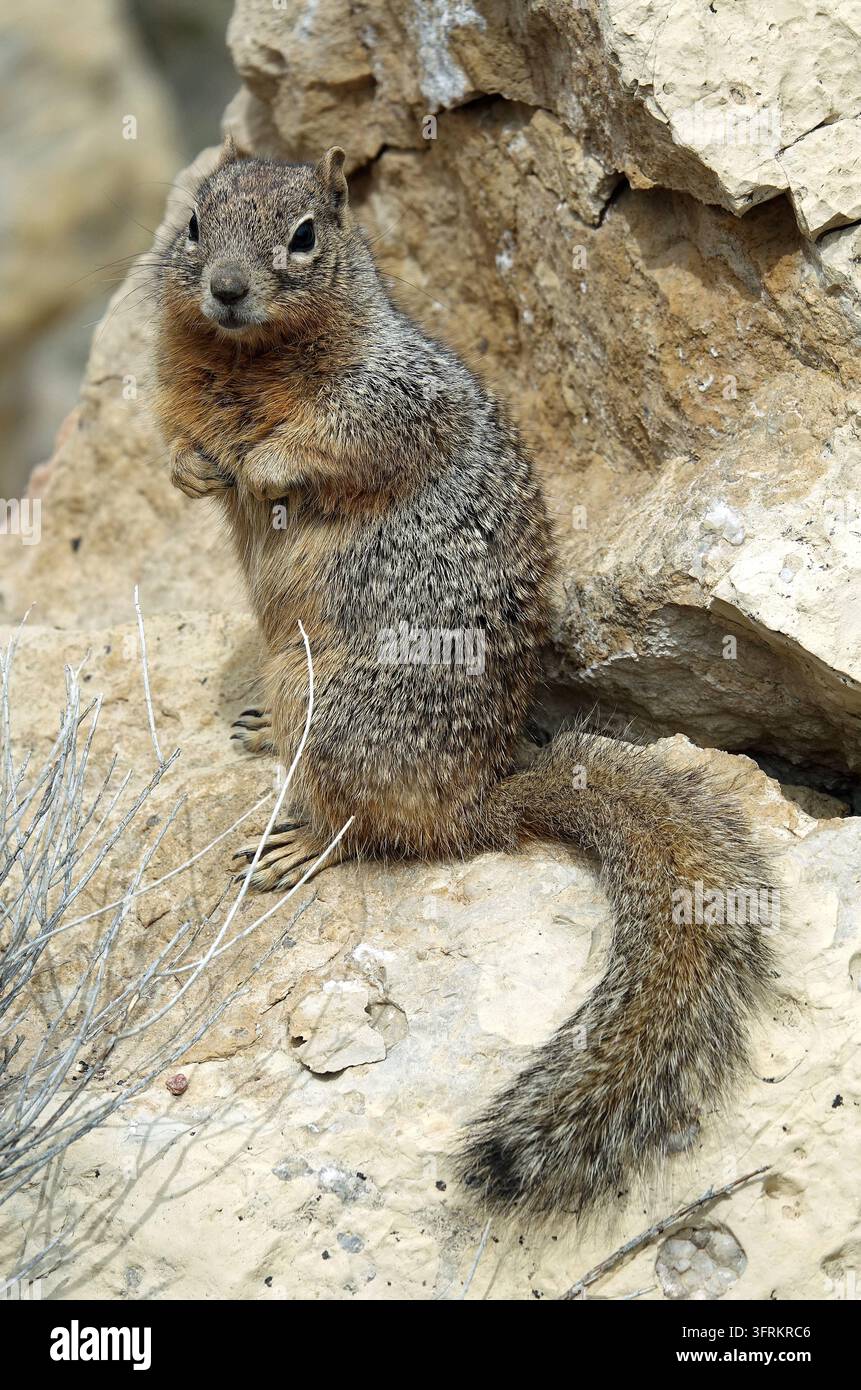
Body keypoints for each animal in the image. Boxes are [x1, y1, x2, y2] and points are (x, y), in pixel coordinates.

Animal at [153, 138, 776, 1221]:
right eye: (193, 224)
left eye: (305, 236)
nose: (226, 287)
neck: (244, 360)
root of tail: (479, 801)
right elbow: (180, 445)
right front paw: (198, 470)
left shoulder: (392, 398)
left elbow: (331, 445)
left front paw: (263, 469)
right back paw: (258, 732)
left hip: (338, 708)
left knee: (361, 831)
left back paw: (298, 842)